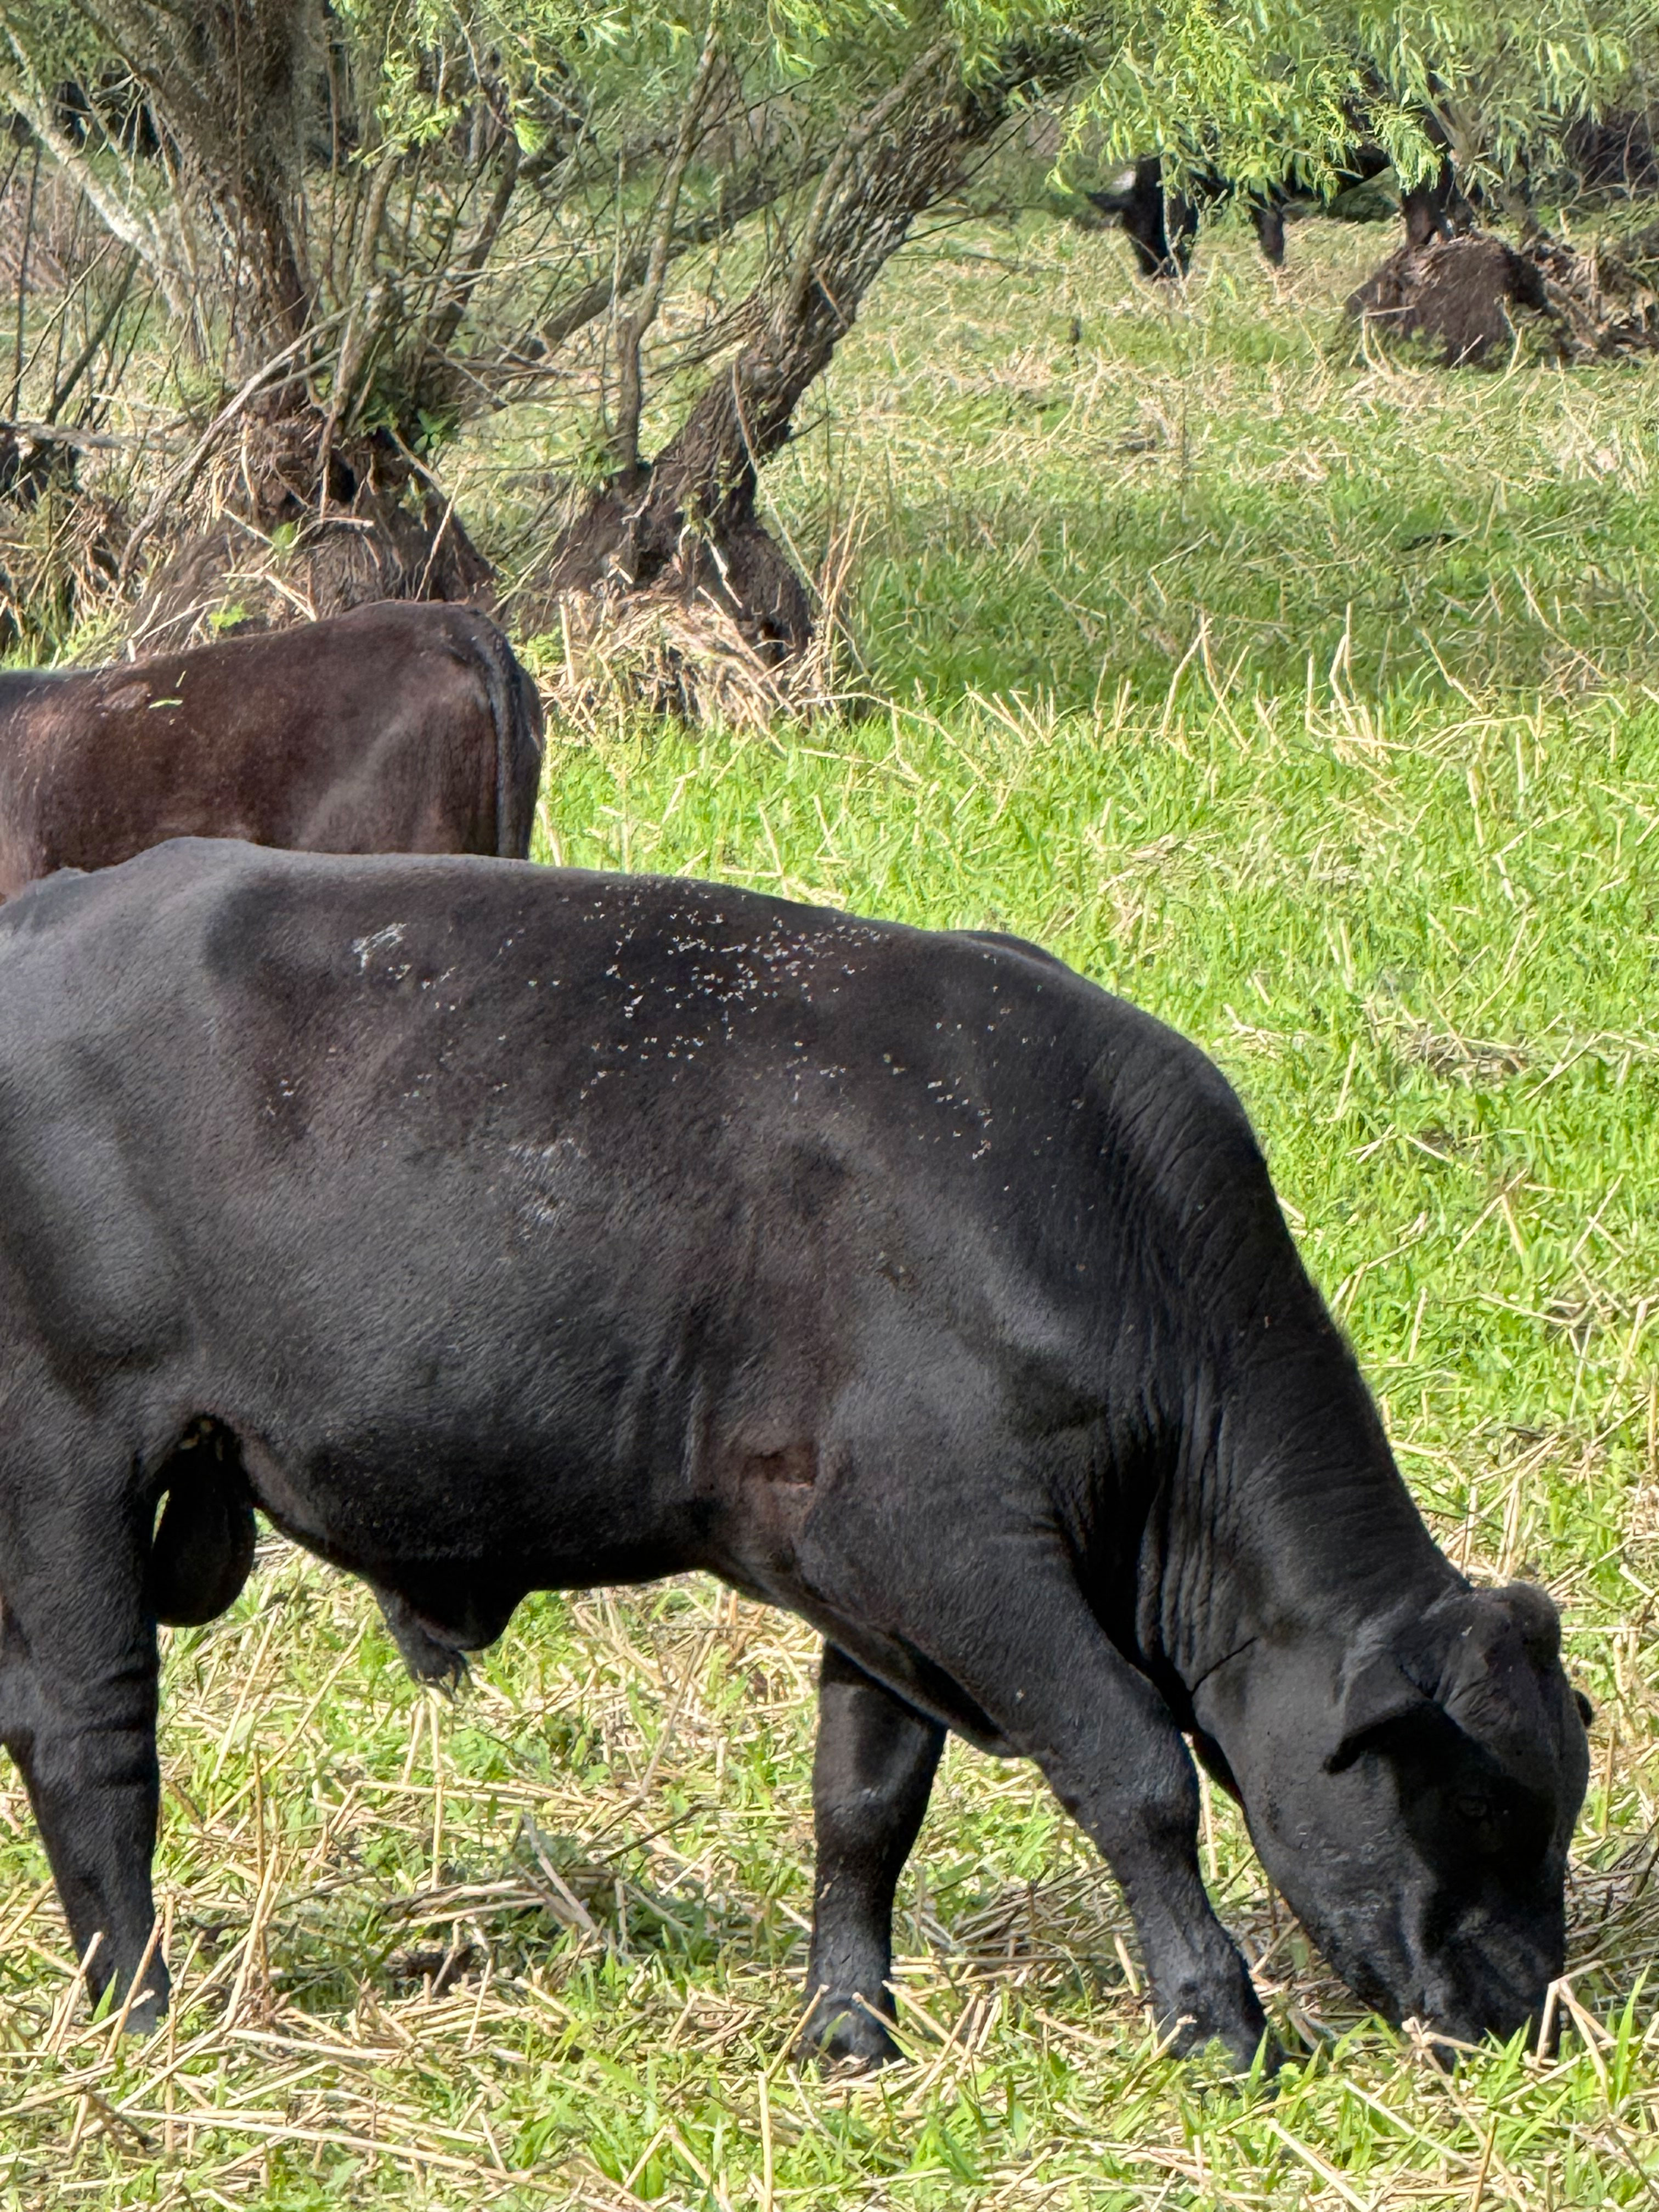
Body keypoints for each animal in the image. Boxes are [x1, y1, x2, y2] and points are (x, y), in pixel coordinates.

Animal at [0, 840, 1589, 2073]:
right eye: (1474, 1799)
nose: (1527, 2014)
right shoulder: (957, 1546)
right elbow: (1138, 1771)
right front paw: (1217, 2024)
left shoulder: (869, 1573)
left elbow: (864, 1806)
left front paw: (847, 2030)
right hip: (68, 1463)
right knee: (91, 1740)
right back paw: (141, 2019)